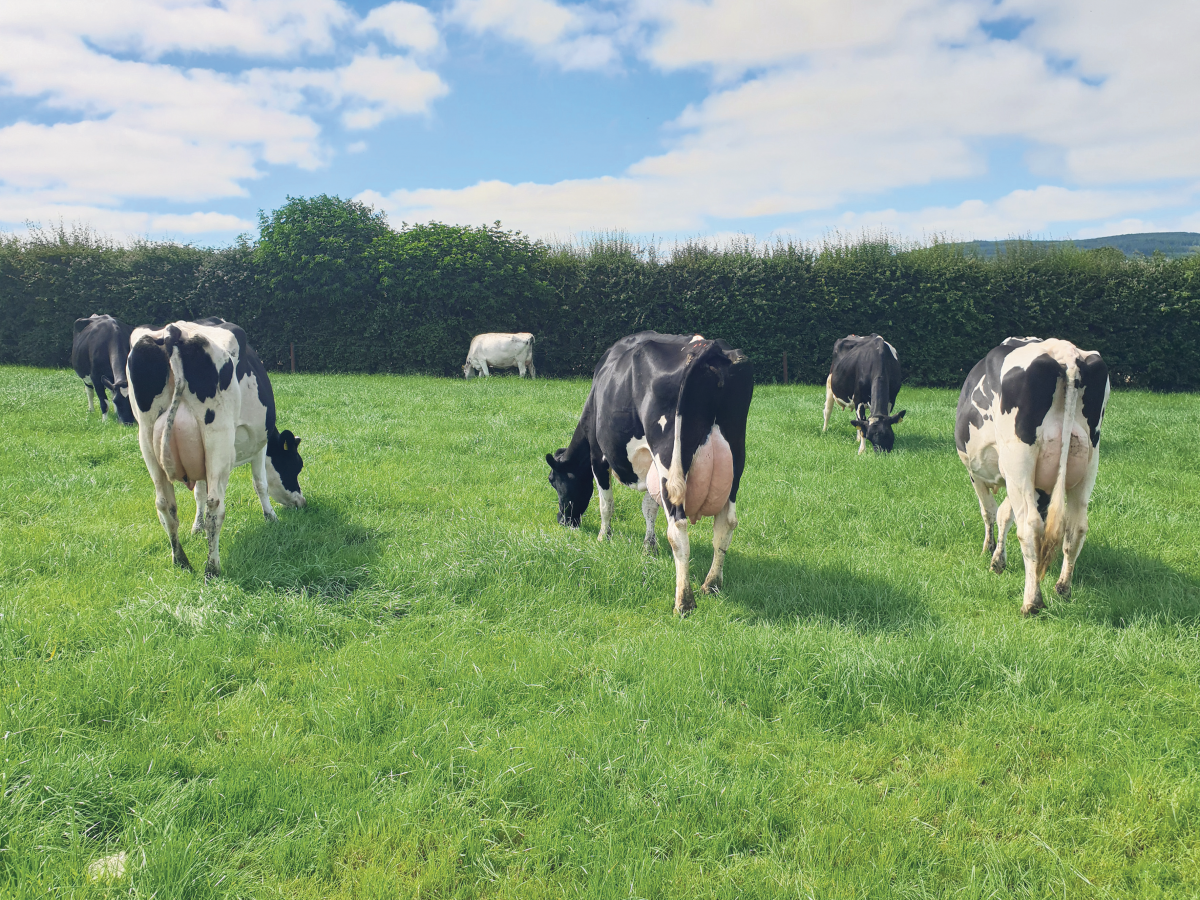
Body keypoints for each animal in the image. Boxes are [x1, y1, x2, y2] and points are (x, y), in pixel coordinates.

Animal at [125, 316, 304, 578]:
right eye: (295, 466)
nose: (301, 502)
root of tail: (173, 331)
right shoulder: (259, 443)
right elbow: (260, 483)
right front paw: (271, 517)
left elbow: (198, 492)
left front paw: (196, 527)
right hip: (218, 439)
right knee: (215, 505)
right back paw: (212, 568)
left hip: (147, 440)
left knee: (165, 505)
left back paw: (180, 561)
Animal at [544, 336, 748, 619]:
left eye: (553, 481)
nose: (563, 520)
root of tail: (713, 348)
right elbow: (649, 507)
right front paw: (648, 548)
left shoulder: (599, 456)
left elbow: (606, 504)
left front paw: (603, 537)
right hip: (735, 462)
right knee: (726, 523)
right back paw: (711, 584)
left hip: (669, 462)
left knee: (678, 528)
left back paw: (684, 602)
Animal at [955, 340, 1113, 619]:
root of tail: (1066, 353)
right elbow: (1005, 514)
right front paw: (997, 559)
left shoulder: (978, 473)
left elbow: (991, 512)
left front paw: (990, 551)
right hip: (1089, 460)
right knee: (1076, 527)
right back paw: (1062, 589)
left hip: (1019, 460)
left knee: (1030, 526)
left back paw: (1032, 602)